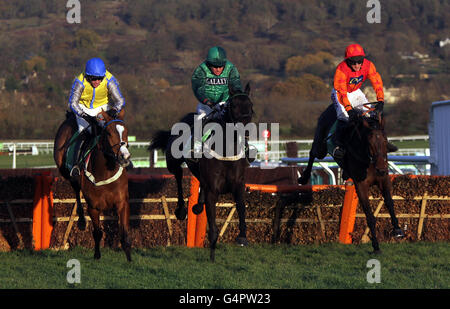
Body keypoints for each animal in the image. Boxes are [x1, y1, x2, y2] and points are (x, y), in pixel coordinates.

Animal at [54, 109, 132, 260]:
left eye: (126, 131)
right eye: (108, 133)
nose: (124, 157)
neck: (105, 172)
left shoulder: (122, 203)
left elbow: (124, 233)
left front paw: (129, 259)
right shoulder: (93, 207)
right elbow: (97, 232)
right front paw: (97, 255)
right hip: (66, 171)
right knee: (76, 189)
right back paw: (81, 221)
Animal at [150, 83, 253, 260]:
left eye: (251, 106)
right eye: (234, 106)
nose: (244, 132)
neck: (226, 151)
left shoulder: (238, 185)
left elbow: (241, 207)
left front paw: (242, 237)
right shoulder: (213, 190)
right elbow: (212, 220)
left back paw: (198, 205)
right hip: (173, 162)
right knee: (178, 176)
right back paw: (181, 210)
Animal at [298, 102, 404, 251]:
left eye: (385, 141)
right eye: (369, 143)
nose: (381, 169)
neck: (368, 161)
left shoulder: (383, 179)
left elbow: (389, 202)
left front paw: (397, 229)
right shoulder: (361, 184)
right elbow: (369, 214)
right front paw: (376, 246)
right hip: (321, 147)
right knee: (312, 152)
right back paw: (303, 177)